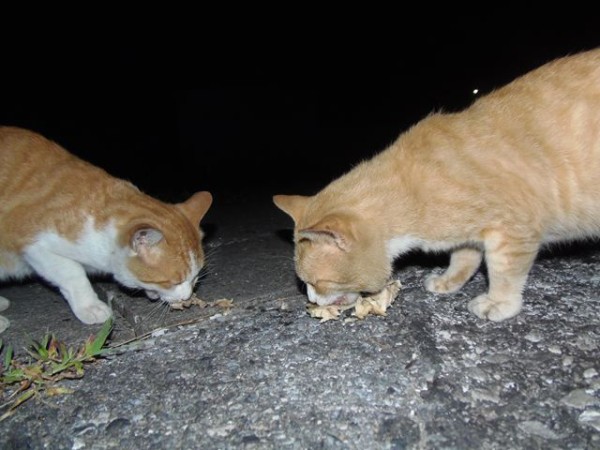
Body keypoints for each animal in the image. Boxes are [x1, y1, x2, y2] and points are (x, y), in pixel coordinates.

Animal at [0, 125, 212, 330]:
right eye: (172, 282)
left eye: (195, 277)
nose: (186, 296)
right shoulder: (34, 246)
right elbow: (73, 274)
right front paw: (90, 306)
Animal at [276, 47, 600, 322]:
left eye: (317, 282)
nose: (312, 301)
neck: (410, 191)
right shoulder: (469, 231)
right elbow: (464, 257)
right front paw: (448, 280)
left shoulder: (515, 229)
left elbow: (503, 271)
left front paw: (499, 302)